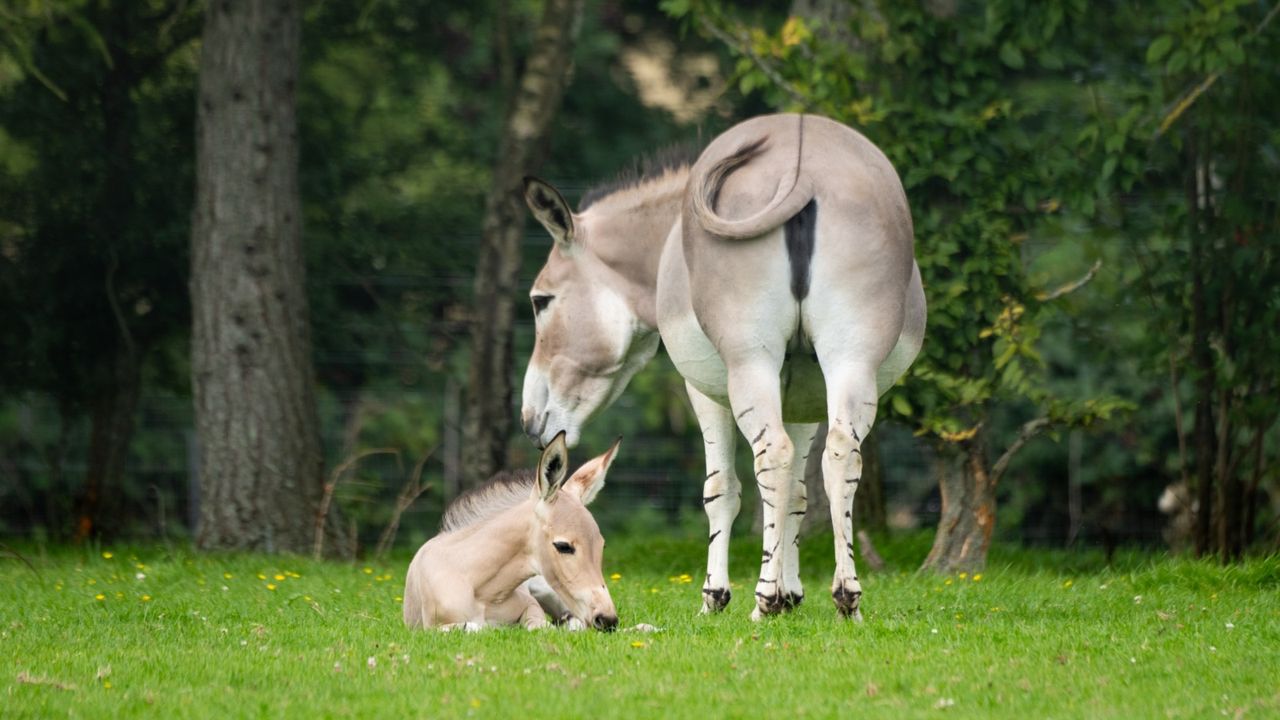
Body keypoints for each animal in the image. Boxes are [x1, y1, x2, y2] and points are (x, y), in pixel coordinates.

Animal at [403, 432, 621, 631]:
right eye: (563, 546)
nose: (607, 620)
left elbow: (539, 626)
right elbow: (473, 627)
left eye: (602, 546)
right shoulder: (431, 629)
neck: (479, 587)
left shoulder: (532, 607)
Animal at [519, 113, 925, 620]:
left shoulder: (702, 387)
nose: (529, 421)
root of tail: (804, 166)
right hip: (851, 359)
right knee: (840, 455)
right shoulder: (804, 394)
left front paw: (719, 595)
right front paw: (792, 594)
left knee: (772, 455)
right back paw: (846, 598)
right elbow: (797, 493)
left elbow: (721, 489)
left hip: (750, 364)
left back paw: (763, 601)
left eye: (540, 300)